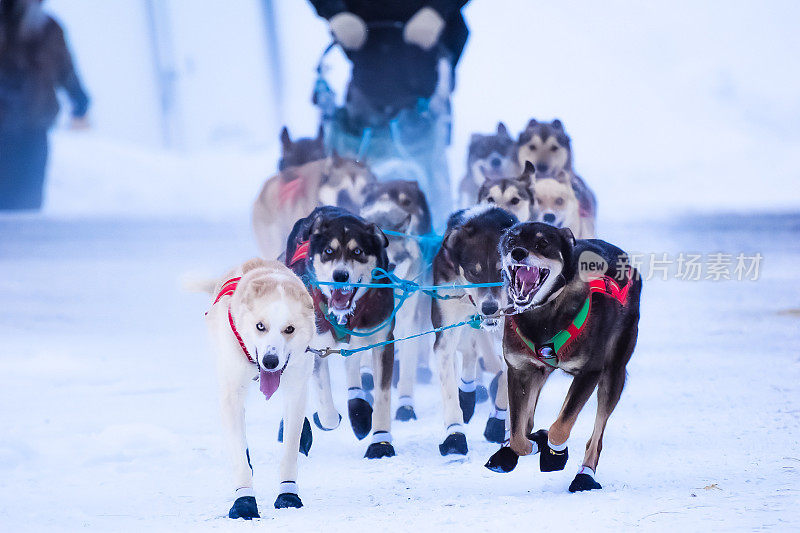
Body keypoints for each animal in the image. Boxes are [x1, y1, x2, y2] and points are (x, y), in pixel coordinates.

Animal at [203, 258, 316, 520]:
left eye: (289, 329)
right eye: (260, 326)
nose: (270, 361)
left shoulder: (297, 390)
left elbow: (290, 448)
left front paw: (288, 493)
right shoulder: (231, 395)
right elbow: (239, 456)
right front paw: (244, 500)